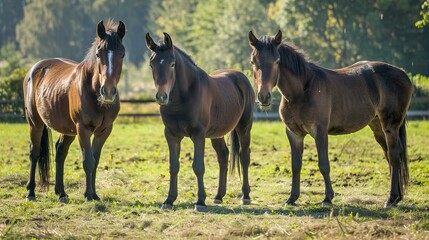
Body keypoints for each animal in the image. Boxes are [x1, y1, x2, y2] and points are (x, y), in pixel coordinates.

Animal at [22, 19, 125, 202]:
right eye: (98, 54)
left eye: (122, 54)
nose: (107, 92)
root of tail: (35, 69)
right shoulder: (82, 129)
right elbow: (88, 161)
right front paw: (89, 195)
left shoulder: (104, 130)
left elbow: (95, 160)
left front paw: (94, 194)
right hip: (35, 123)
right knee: (35, 152)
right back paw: (31, 192)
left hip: (68, 129)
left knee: (60, 151)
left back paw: (61, 193)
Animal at [146, 32, 254, 212]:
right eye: (151, 64)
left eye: (172, 64)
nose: (161, 96)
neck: (184, 96)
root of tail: (240, 77)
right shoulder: (171, 135)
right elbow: (173, 166)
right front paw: (169, 200)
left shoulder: (198, 135)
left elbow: (198, 166)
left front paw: (200, 202)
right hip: (217, 134)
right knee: (223, 156)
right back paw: (218, 196)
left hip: (244, 127)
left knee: (244, 156)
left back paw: (245, 196)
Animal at [247, 30, 412, 207]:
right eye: (253, 61)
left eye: (277, 61)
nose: (264, 97)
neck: (302, 91)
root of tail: (402, 74)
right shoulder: (294, 134)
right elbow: (296, 165)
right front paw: (292, 198)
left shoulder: (320, 132)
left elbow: (324, 164)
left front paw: (327, 198)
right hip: (377, 126)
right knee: (389, 154)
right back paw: (397, 197)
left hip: (391, 125)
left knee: (394, 155)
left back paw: (391, 199)